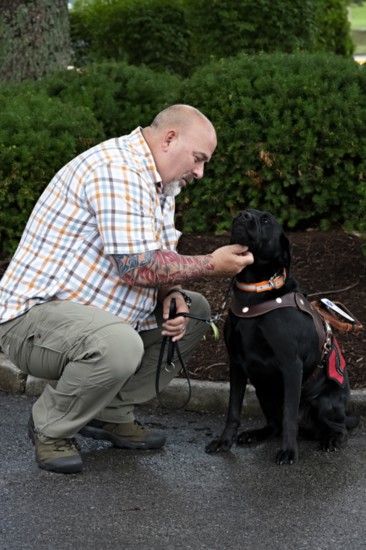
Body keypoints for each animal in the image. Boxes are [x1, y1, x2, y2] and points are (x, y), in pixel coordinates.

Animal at [206, 209, 358, 464]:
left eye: (266, 220)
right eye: (246, 211)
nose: (242, 214)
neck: (255, 292)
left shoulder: (291, 365)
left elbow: (289, 415)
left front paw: (288, 451)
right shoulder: (236, 363)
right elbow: (233, 410)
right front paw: (224, 442)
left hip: (325, 401)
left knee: (339, 428)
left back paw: (331, 440)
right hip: (262, 390)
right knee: (275, 424)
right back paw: (255, 434)